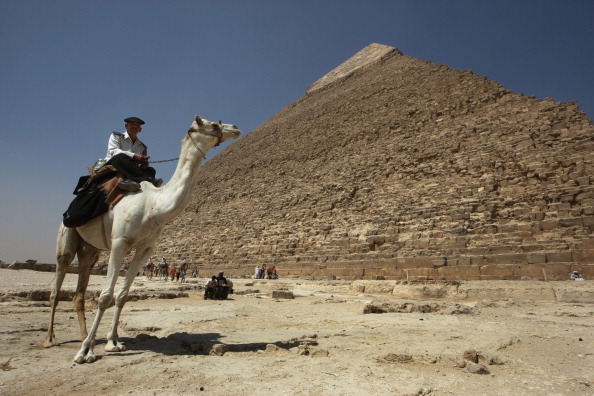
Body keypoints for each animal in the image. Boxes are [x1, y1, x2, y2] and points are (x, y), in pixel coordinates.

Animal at [42, 116, 239, 364]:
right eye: (213, 124)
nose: (236, 128)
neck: (153, 205)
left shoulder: (146, 249)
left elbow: (122, 295)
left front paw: (112, 342)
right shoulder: (119, 242)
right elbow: (105, 296)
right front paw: (84, 351)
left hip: (91, 250)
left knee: (79, 292)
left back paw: (85, 337)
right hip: (67, 236)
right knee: (57, 286)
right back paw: (52, 339)